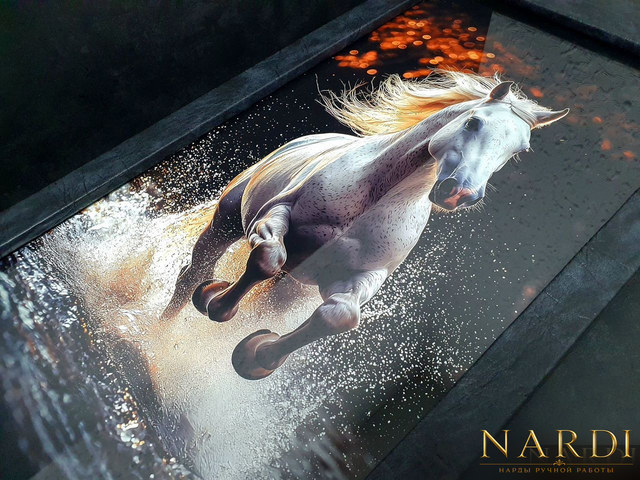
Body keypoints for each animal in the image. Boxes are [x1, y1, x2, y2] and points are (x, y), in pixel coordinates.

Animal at [161, 71, 568, 380]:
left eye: (519, 150)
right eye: (473, 122)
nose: (461, 193)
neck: (370, 199)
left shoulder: (360, 277)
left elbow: (339, 316)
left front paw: (257, 355)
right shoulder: (275, 215)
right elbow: (267, 259)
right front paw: (216, 302)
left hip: (289, 289)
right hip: (227, 220)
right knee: (193, 272)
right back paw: (169, 326)